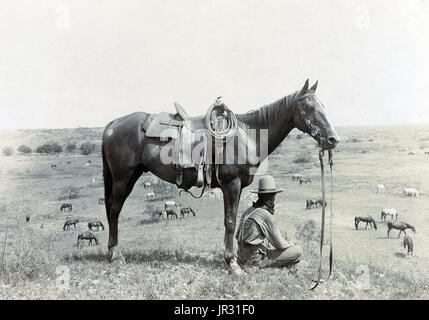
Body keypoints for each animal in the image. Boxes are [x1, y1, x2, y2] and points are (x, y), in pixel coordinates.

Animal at [100, 79, 338, 272]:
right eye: (309, 107)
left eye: (324, 106)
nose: (333, 139)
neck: (246, 135)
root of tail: (112, 125)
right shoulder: (231, 184)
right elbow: (230, 221)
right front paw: (232, 263)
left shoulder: (238, 186)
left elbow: (234, 219)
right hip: (122, 177)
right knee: (114, 209)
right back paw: (116, 254)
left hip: (130, 176)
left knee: (112, 209)